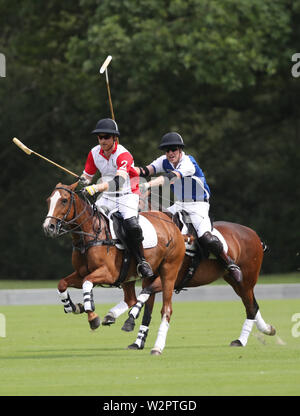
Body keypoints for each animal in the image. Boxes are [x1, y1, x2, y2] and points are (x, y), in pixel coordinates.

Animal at [42, 182, 185, 354]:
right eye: (48, 200)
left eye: (64, 200)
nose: (48, 227)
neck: (90, 234)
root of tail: (170, 221)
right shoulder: (81, 272)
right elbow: (62, 283)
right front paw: (74, 306)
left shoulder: (108, 274)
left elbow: (87, 283)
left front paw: (92, 316)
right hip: (134, 276)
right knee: (133, 299)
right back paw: (118, 320)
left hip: (169, 271)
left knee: (166, 309)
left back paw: (157, 347)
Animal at [103, 219, 276, 350]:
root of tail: (254, 235)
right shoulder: (149, 278)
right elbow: (147, 312)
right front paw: (138, 342)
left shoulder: (169, 279)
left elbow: (145, 293)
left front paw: (128, 317)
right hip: (235, 281)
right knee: (253, 304)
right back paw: (267, 329)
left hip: (247, 279)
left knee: (251, 307)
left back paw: (241, 340)